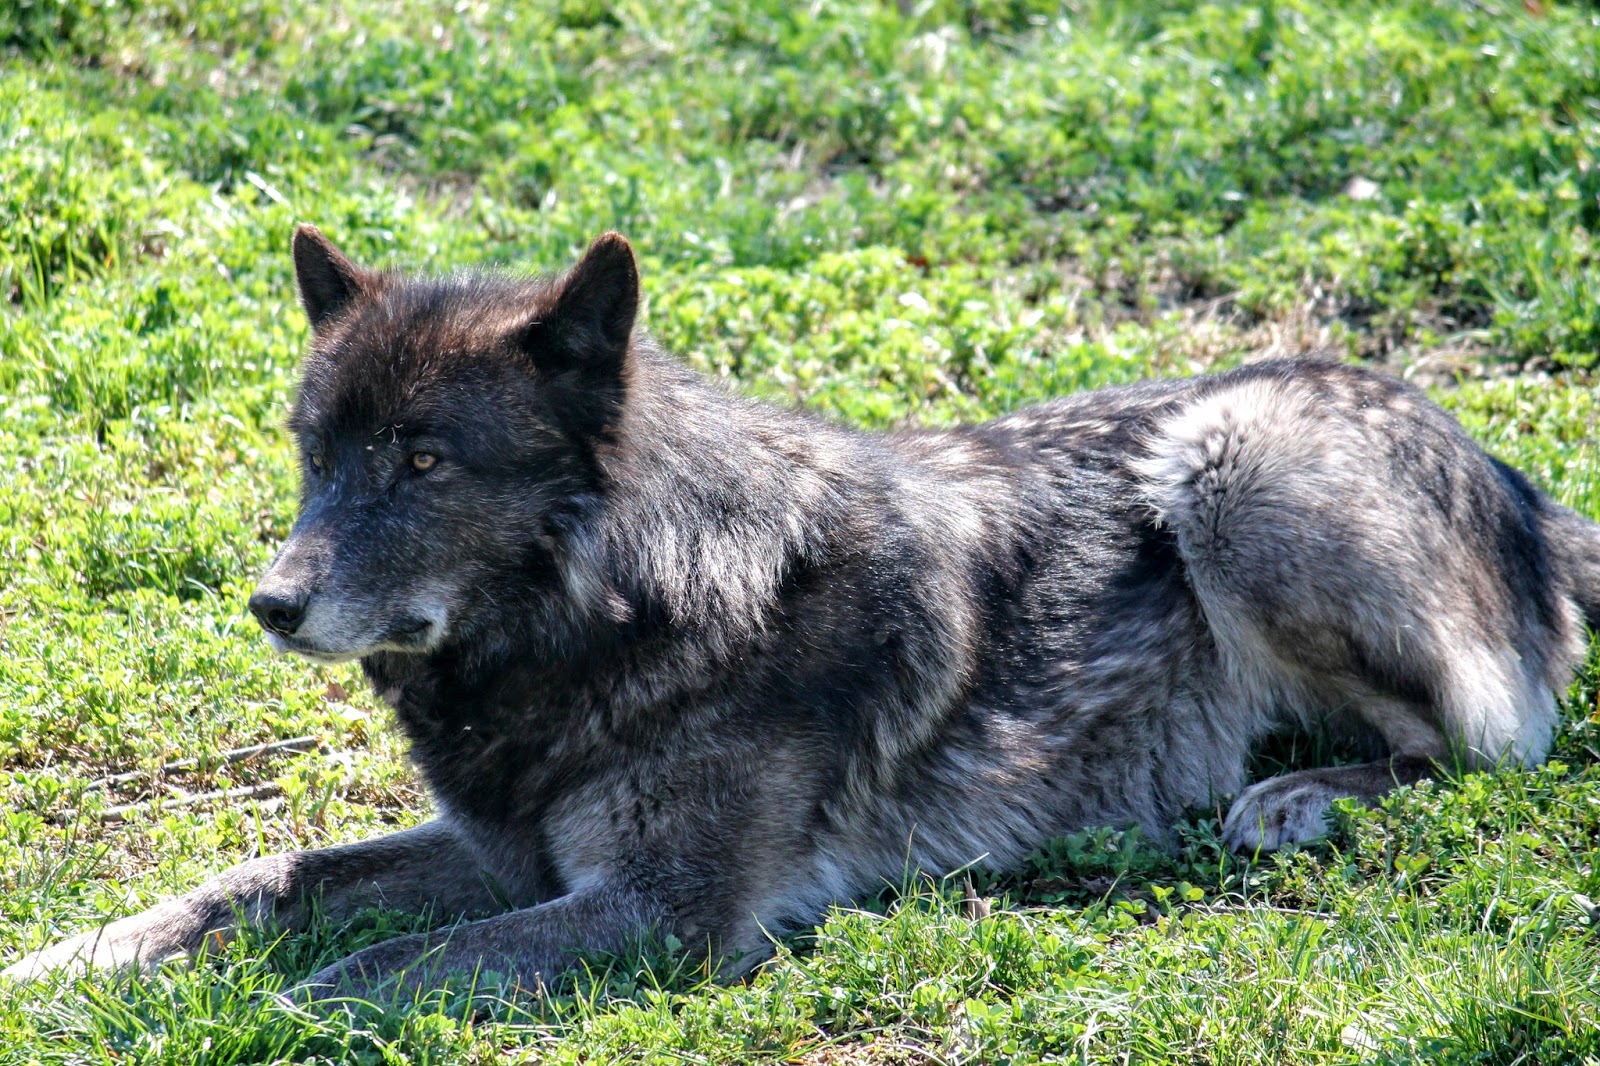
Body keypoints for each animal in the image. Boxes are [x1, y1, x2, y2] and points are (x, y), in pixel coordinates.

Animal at [7, 228, 1598, 1000]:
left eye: (423, 461)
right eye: (315, 450)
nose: (271, 604)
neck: (634, 608)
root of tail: (1521, 481)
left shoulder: (662, 913)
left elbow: (360, 975)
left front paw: (228, 1018)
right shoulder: (510, 852)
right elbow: (260, 881)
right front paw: (74, 967)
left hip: (1236, 464)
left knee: (1484, 747)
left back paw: (1305, 794)